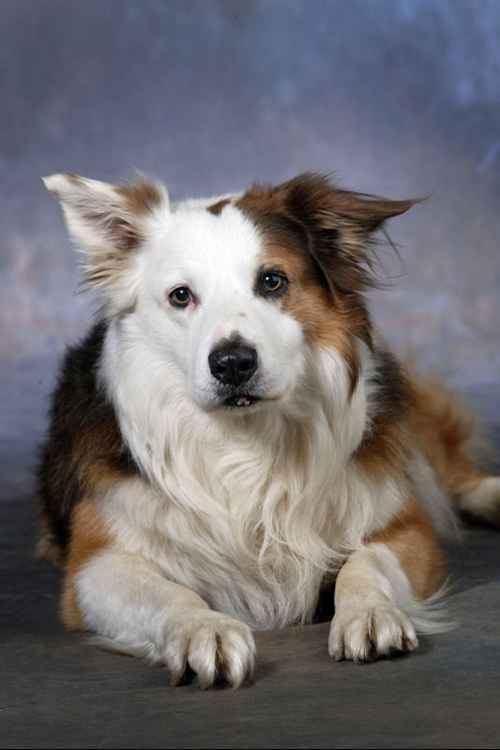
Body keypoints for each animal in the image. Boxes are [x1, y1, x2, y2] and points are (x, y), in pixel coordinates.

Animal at [38, 171, 500, 688]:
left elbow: (364, 564)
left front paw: (369, 612)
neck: (245, 441)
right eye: (181, 295)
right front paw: (204, 629)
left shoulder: (405, 528)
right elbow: (167, 594)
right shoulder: (94, 567)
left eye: (272, 281)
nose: (233, 363)